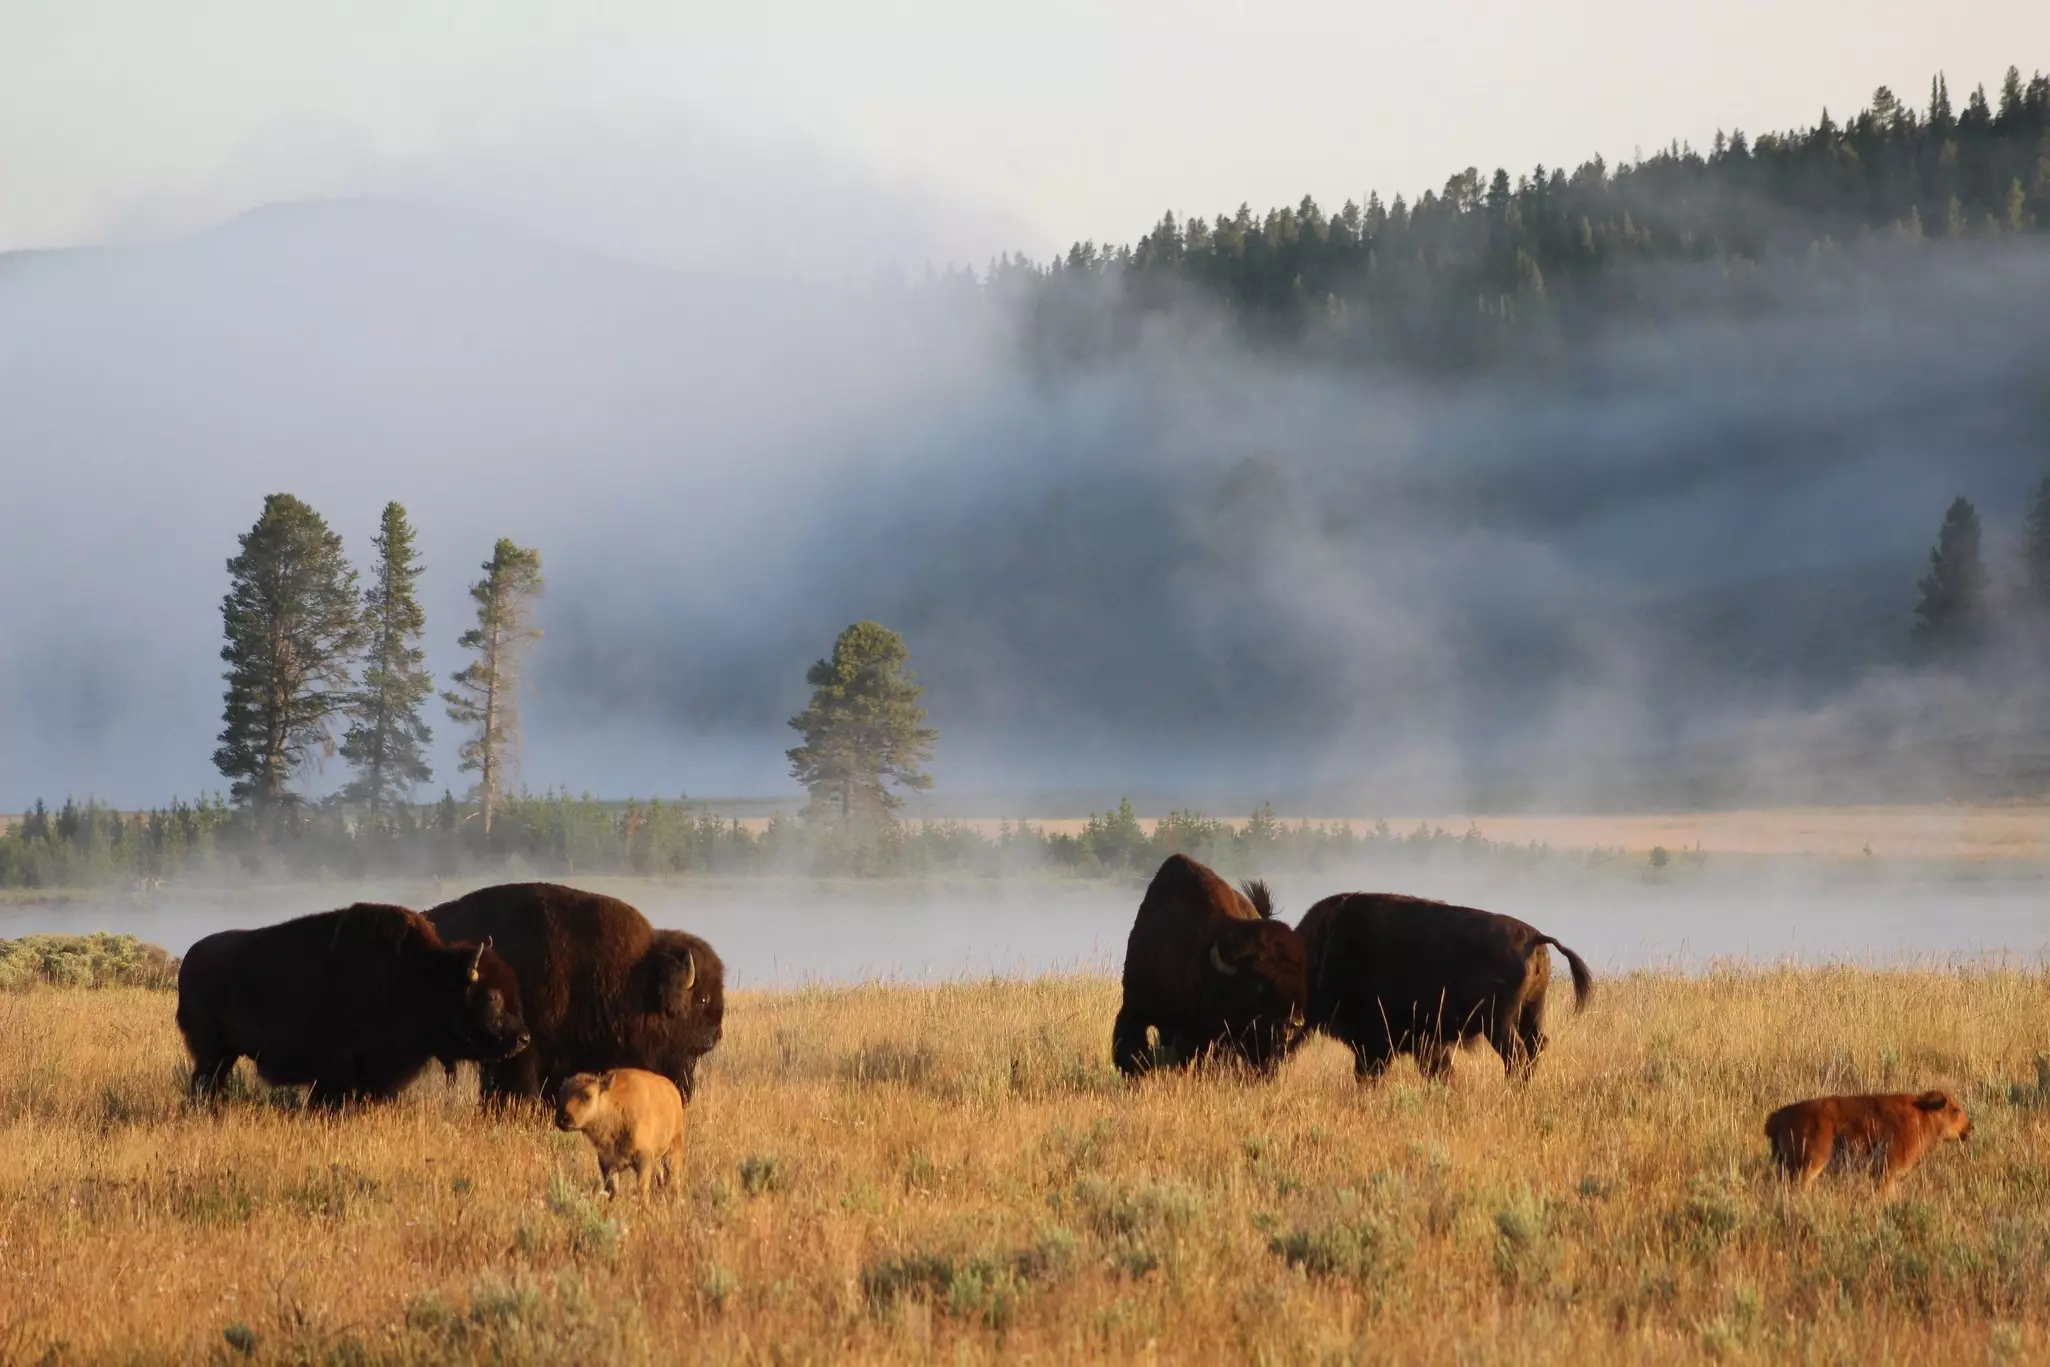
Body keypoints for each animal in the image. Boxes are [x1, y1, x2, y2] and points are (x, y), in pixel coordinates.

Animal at [176, 902, 529, 1109]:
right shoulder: (338, 1070)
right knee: (203, 1083)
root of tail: (190, 958)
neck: (422, 975)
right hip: (211, 1052)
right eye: (491, 996)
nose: (523, 1038)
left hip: (225, 1054)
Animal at [1296, 892, 1591, 1083]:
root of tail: (1535, 937)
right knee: (1535, 1046)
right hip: (1530, 1010)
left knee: (1516, 1055)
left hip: (1498, 1024)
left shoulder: (1382, 1039)